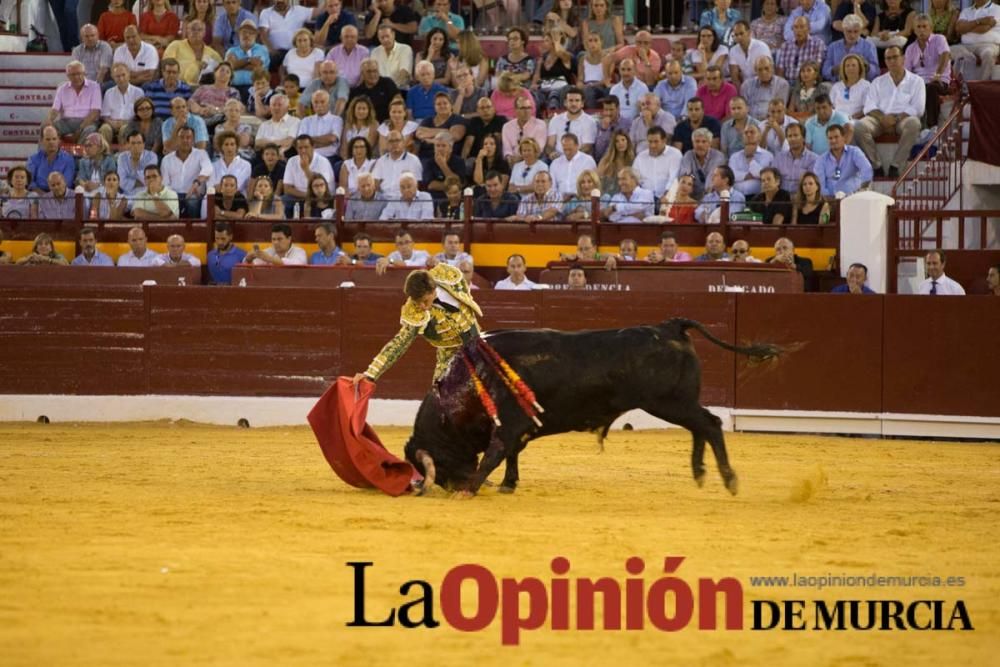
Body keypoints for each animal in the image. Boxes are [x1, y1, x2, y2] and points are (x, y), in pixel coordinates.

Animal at [404, 318, 780, 496]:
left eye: (436, 460)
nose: (451, 487)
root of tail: (669, 326)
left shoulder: (508, 424)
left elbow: (495, 454)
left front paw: (471, 490)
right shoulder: (521, 426)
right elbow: (512, 454)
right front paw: (508, 484)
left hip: (669, 402)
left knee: (710, 424)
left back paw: (728, 480)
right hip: (678, 402)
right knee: (700, 427)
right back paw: (699, 473)